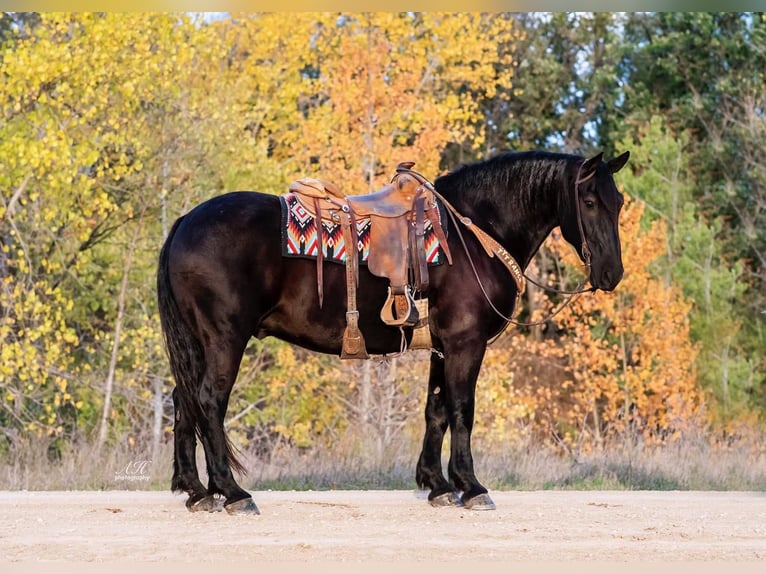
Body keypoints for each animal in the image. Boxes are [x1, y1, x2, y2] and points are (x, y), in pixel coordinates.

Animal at [154, 151, 632, 516]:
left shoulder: (442, 347)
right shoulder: (465, 343)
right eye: (590, 201)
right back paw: (232, 493)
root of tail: (184, 222)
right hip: (224, 339)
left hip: (195, 343)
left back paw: (197, 492)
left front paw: (439, 484)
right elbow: (462, 410)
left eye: (619, 201)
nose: (611, 274)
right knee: (209, 402)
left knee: (184, 401)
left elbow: (436, 410)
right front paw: (472, 486)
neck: (472, 234)